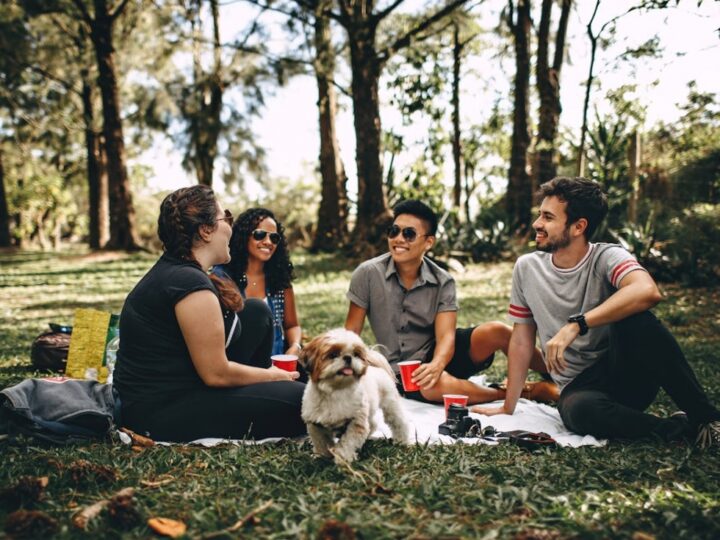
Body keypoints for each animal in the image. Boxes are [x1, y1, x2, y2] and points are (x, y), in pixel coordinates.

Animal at [300, 326, 410, 462]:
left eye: (356, 354)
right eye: (333, 354)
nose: (348, 357)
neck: (335, 390)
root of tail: (376, 367)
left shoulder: (356, 422)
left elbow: (348, 442)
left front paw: (342, 458)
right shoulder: (315, 424)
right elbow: (321, 441)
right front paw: (322, 456)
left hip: (390, 404)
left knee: (399, 422)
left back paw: (402, 441)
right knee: (372, 424)